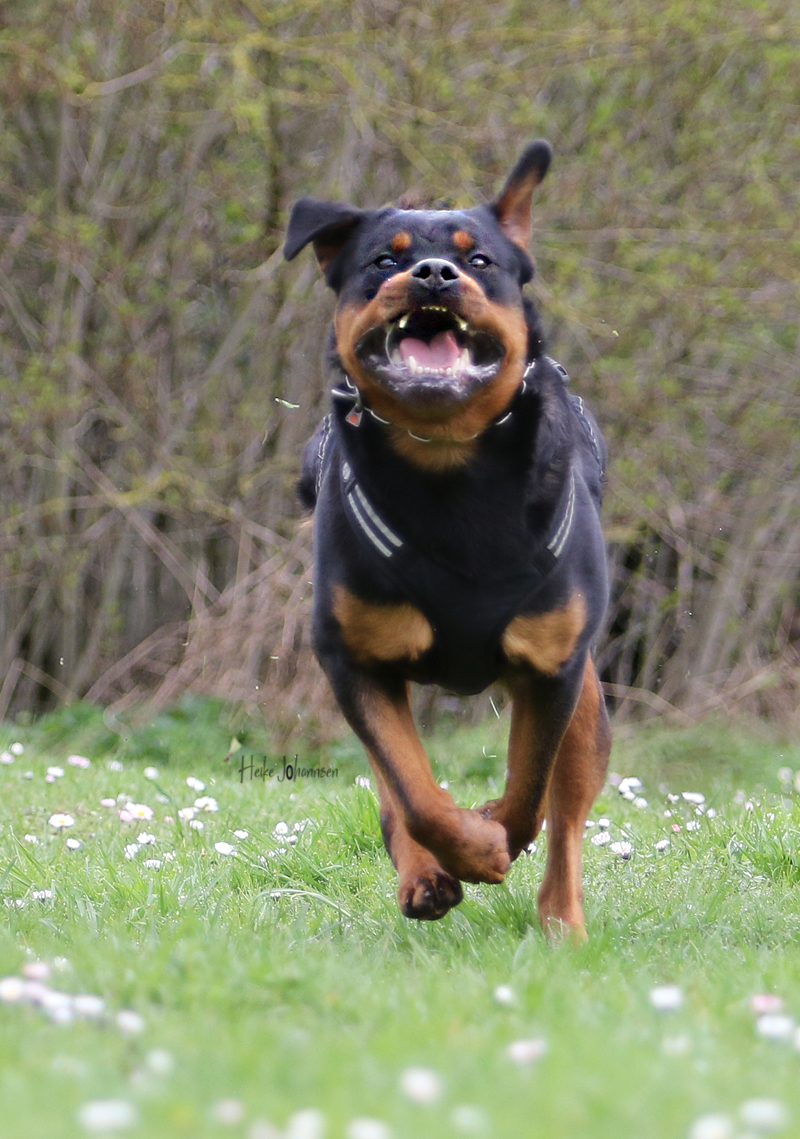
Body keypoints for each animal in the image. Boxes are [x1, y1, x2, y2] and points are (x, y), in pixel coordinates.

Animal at [284, 141, 611, 938]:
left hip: (588, 700)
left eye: (480, 259)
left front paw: (492, 834)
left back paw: (561, 921)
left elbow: (529, 793)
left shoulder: (553, 666)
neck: (449, 466)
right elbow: (414, 791)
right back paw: (426, 875)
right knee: (395, 789)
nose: (433, 273)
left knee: (566, 813)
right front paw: (462, 852)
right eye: (382, 259)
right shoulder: (352, 658)